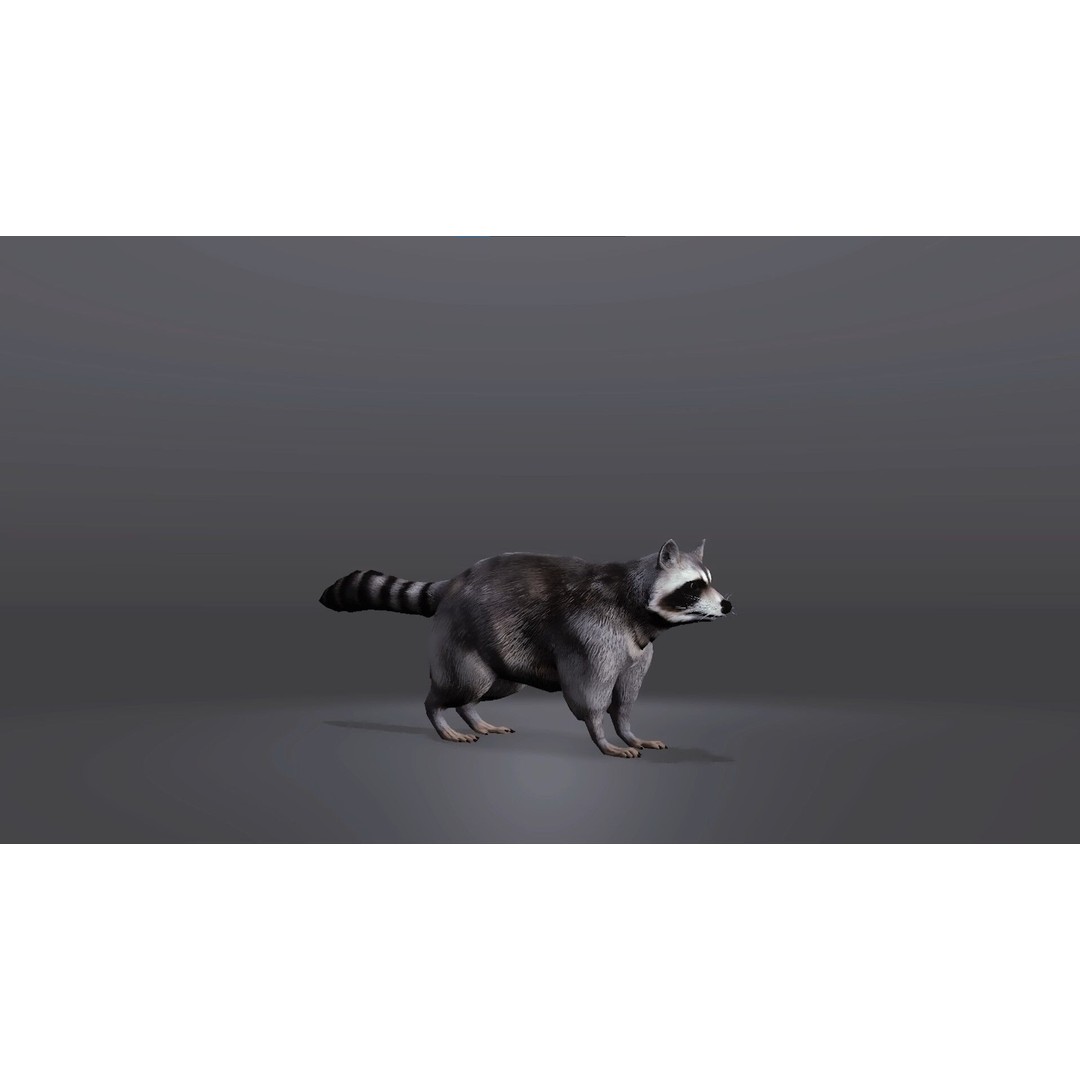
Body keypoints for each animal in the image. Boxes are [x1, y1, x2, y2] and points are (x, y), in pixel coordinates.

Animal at [318, 539, 732, 758]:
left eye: (709, 581)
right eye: (694, 586)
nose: (727, 605)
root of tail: (454, 582)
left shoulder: (637, 650)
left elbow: (626, 699)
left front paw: (628, 731)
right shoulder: (592, 634)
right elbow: (590, 695)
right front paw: (603, 738)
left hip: (504, 650)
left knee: (488, 687)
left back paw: (473, 715)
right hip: (460, 632)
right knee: (461, 683)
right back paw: (439, 714)